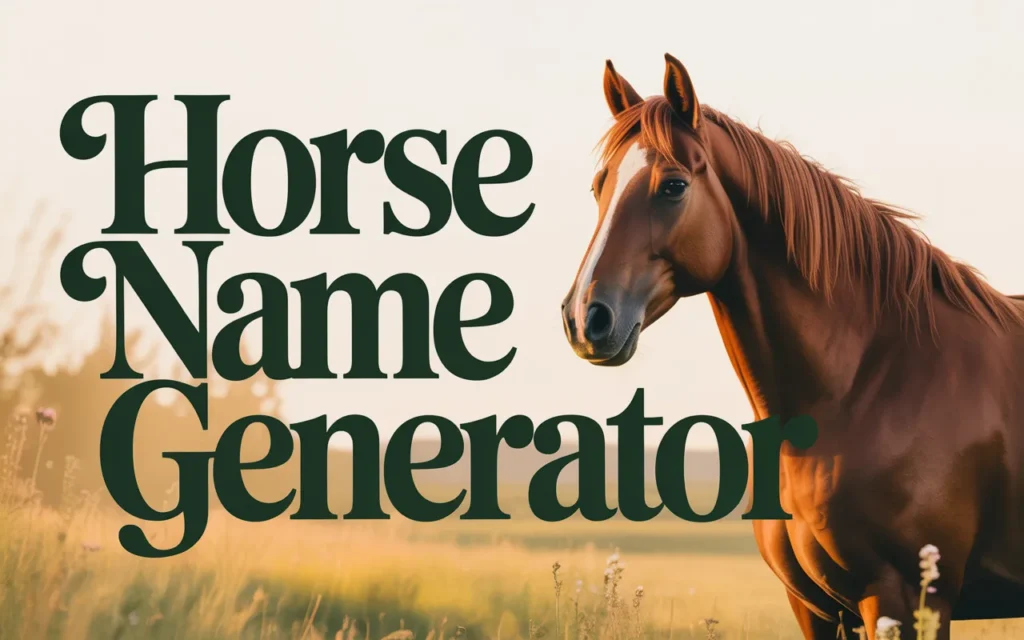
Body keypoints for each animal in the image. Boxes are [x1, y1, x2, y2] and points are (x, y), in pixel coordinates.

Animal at [560, 54, 1024, 639]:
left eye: (673, 186)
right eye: (600, 186)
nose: (585, 318)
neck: (870, 383)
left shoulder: (908, 602)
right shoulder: (815, 607)